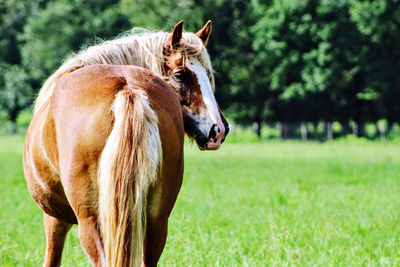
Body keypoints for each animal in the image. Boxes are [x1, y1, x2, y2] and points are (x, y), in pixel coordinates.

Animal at [22, 21, 228, 267]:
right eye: (180, 74)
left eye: (208, 74)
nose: (218, 130)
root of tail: (128, 87)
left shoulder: (54, 219)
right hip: (157, 220)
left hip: (91, 221)